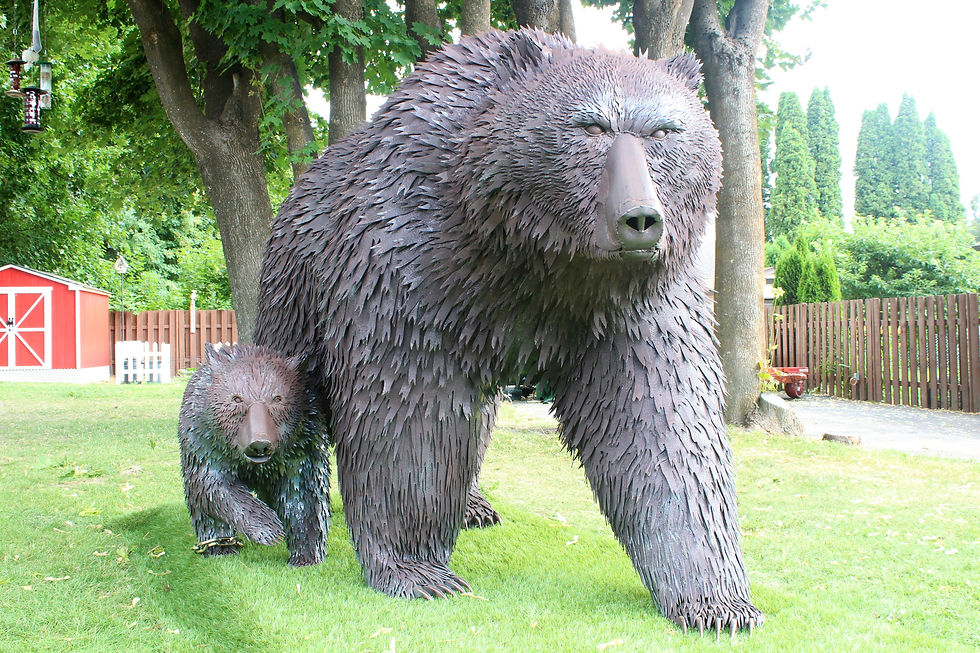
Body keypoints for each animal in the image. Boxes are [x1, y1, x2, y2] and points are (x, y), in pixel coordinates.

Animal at [178, 343, 329, 566]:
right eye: (236, 399)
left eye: (277, 398)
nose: (259, 445)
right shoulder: (204, 440)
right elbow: (212, 484)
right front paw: (269, 528)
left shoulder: (302, 442)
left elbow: (303, 493)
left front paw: (306, 555)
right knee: (206, 514)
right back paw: (220, 547)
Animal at [254, 28, 763, 632]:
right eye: (590, 126)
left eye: (663, 131)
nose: (640, 219)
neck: (531, 251)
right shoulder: (410, 269)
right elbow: (405, 414)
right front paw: (418, 570)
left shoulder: (629, 311)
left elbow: (663, 426)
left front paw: (719, 602)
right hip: (297, 280)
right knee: (285, 379)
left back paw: (474, 506)